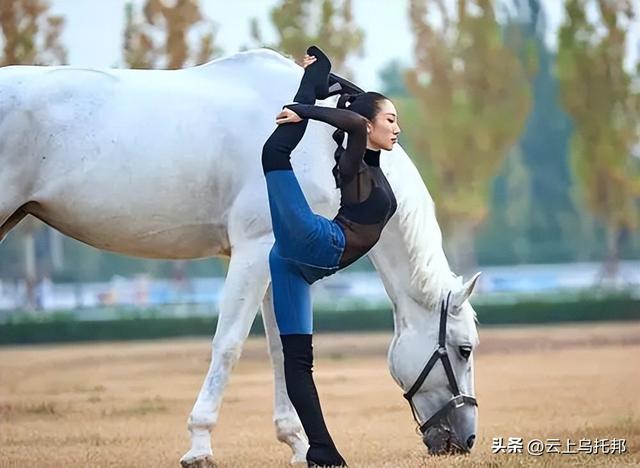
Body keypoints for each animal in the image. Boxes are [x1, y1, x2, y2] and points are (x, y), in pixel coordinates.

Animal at [0, 48, 480, 464]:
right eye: (464, 349)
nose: (466, 439)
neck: (329, 143)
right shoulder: (254, 248)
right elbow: (228, 344)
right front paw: (199, 445)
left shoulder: (277, 258)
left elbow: (280, 349)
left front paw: (298, 444)